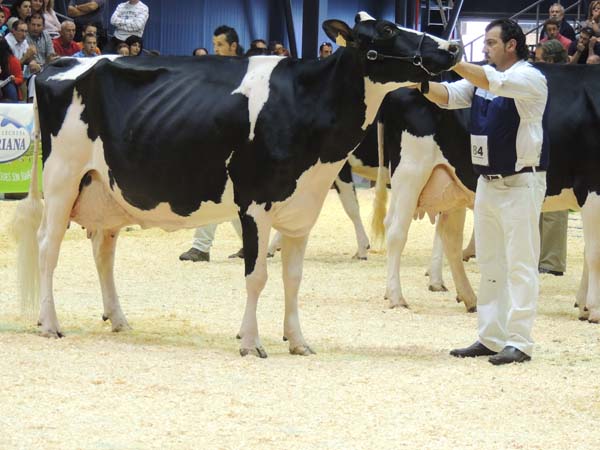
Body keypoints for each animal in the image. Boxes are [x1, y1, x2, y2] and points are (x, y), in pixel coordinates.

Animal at [12, 12, 462, 357]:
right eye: (385, 30)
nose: (454, 47)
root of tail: (61, 63)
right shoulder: (255, 202)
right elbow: (257, 275)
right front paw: (250, 342)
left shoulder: (304, 205)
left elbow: (293, 278)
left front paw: (298, 341)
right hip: (62, 178)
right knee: (47, 246)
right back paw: (49, 323)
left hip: (105, 188)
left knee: (103, 250)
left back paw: (119, 319)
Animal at [371, 63, 600, 322]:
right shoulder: (592, 186)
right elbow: (595, 253)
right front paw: (594, 309)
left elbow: (588, 252)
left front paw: (584, 305)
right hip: (410, 172)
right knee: (396, 231)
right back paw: (396, 297)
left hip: (452, 186)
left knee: (450, 237)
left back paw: (470, 299)